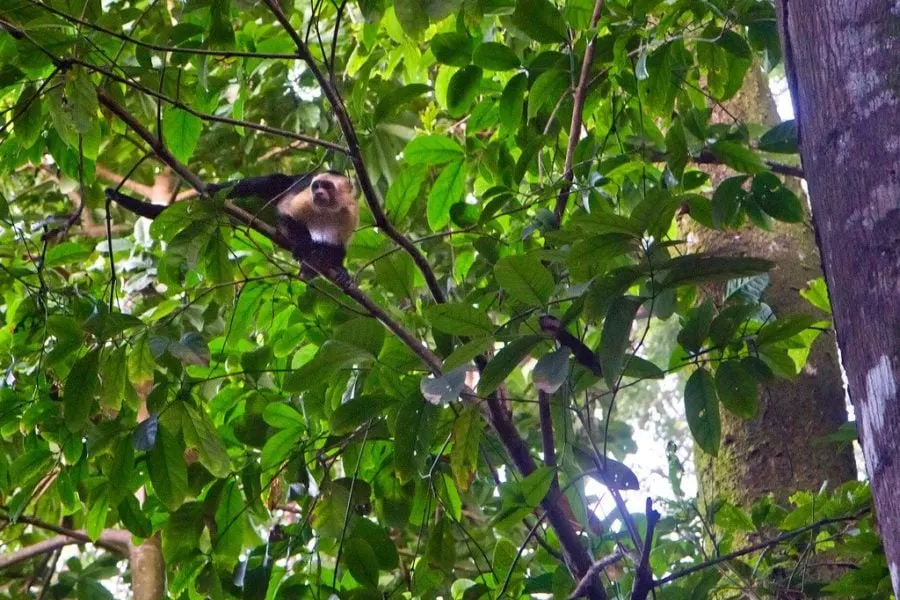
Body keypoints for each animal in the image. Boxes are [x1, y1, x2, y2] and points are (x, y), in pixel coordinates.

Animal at [105, 171, 358, 286]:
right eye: (316, 186)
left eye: (327, 186)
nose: (318, 191)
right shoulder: (304, 199)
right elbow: (285, 214)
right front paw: (304, 246)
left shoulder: (350, 213)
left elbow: (338, 247)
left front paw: (339, 269)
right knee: (269, 181)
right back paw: (211, 191)